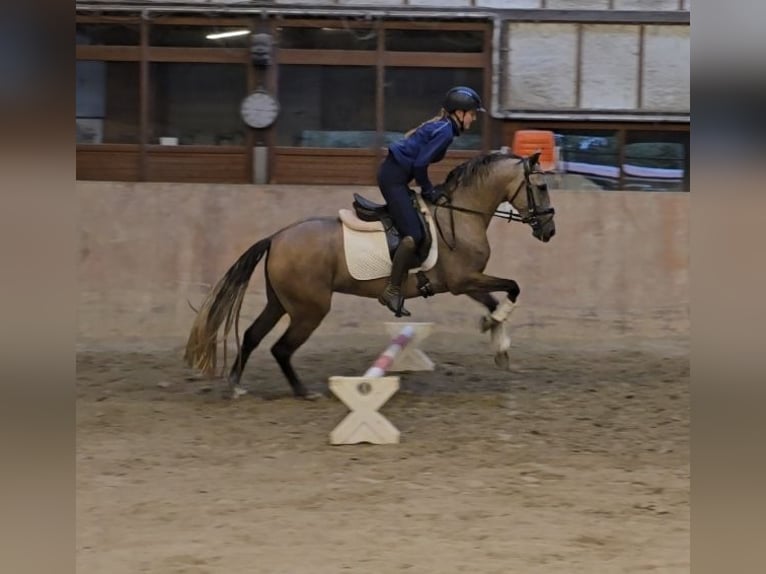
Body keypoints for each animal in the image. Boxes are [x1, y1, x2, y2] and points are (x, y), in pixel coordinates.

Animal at [186, 151, 560, 398]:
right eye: (541, 186)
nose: (549, 231)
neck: (461, 214)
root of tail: (276, 237)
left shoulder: (465, 281)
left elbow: (496, 300)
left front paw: (499, 345)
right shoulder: (462, 280)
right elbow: (513, 288)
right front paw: (496, 333)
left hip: (280, 302)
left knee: (252, 336)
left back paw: (237, 384)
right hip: (309, 309)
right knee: (281, 348)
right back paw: (302, 390)